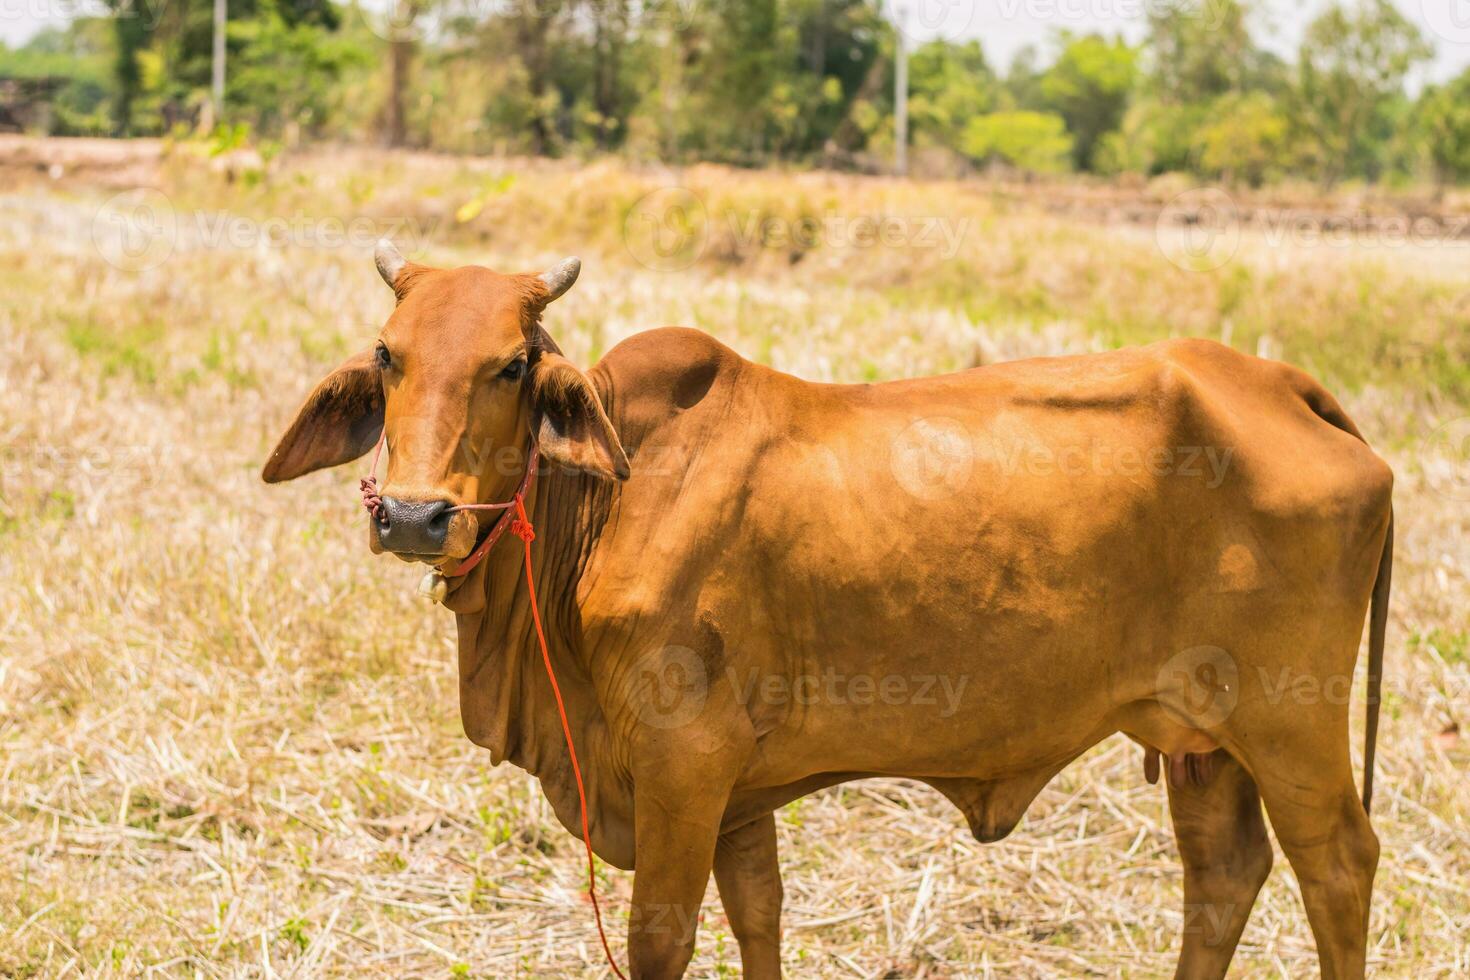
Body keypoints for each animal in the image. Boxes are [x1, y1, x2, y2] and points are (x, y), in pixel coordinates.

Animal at [267, 240, 1399, 975]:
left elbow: (662, 938)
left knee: (1338, 867)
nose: (415, 515)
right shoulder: (737, 793)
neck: (604, 503)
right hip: (1204, 737)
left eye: (509, 364)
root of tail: (1281, 381)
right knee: (1223, 874)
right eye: (388, 354)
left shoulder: (683, 767)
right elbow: (759, 915)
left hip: (1290, 721)